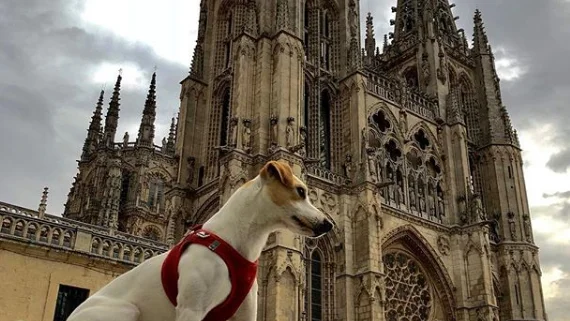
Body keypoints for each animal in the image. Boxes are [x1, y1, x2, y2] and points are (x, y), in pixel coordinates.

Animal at [66, 160, 332, 320]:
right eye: (300, 191)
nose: (329, 224)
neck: (239, 242)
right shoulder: (191, 310)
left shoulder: (245, 312)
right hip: (125, 310)